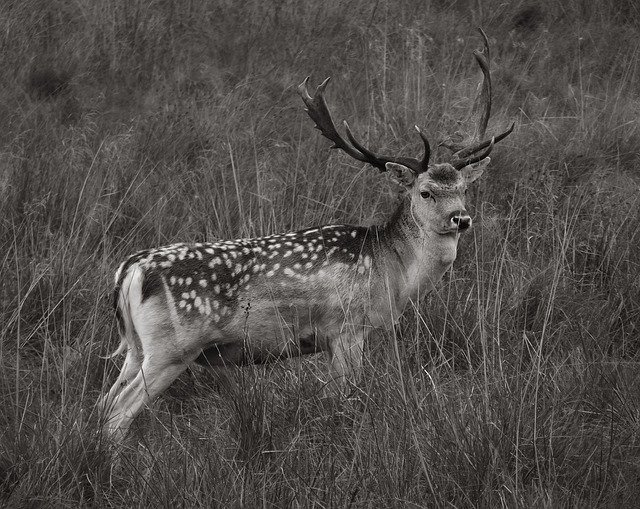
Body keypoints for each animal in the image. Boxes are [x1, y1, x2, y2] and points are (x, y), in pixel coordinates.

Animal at [96, 29, 516, 438]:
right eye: (425, 192)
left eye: (463, 188)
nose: (461, 219)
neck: (392, 271)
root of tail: (130, 271)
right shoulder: (347, 327)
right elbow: (347, 399)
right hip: (172, 346)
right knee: (117, 413)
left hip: (136, 347)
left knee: (103, 402)